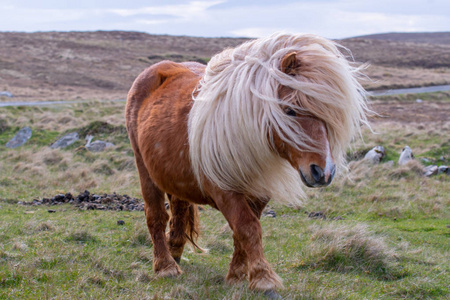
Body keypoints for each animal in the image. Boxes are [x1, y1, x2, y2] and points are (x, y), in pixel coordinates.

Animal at [124, 32, 370, 292]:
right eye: (290, 110)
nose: (323, 172)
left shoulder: (259, 191)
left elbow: (242, 232)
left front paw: (237, 275)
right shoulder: (224, 189)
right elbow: (247, 227)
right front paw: (264, 279)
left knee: (179, 210)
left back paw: (175, 255)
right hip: (145, 169)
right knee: (156, 216)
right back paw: (165, 266)